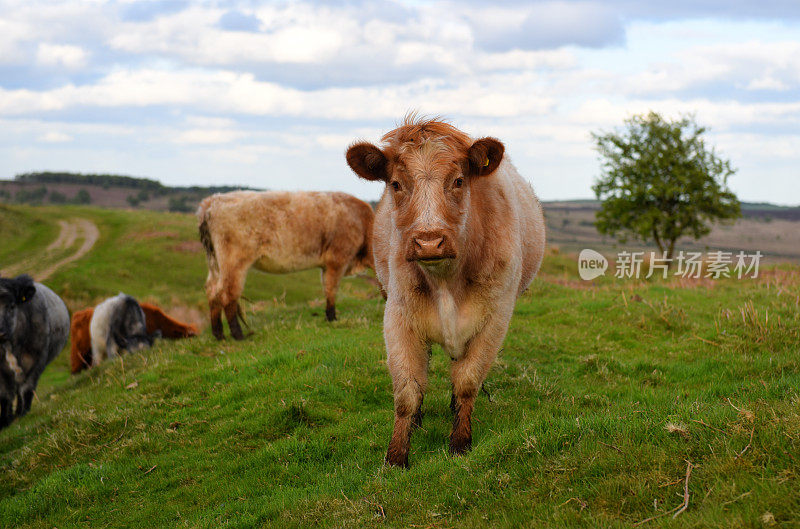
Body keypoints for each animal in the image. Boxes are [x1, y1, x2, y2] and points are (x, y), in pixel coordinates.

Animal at [0, 274, 69, 426]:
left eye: (12, 306)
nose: (0, 332)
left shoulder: (37, 359)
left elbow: (27, 387)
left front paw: (22, 413)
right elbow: (5, 394)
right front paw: (5, 420)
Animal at [200, 192, 376, 340]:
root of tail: (213, 201)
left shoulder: (328, 265)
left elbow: (327, 289)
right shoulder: (337, 260)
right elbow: (331, 289)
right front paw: (332, 318)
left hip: (215, 264)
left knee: (212, 291)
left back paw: (218, 334)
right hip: (234, 263)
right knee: (227, 294)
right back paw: (238, 334)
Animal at [346, 116, 548, 466]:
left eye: (457, 180)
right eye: (396, 184)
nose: (429, 242)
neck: (446, 280)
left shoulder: (495, 319)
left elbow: (467, 381)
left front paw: (460, 441)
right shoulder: (397, 316)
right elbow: (407, 390)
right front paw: (396, 456)